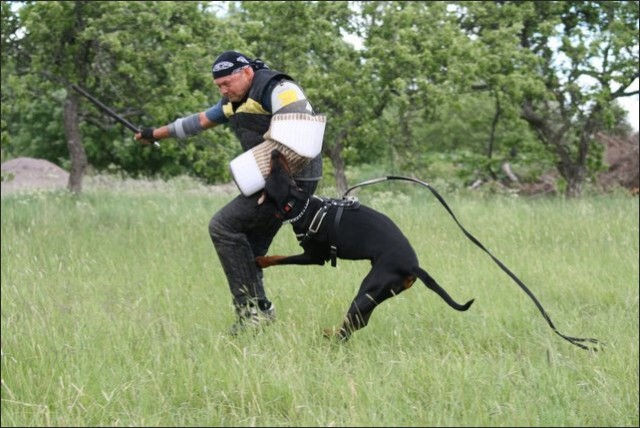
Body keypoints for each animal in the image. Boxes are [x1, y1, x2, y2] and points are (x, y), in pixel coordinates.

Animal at [256, 150, 476, 342]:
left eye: (276, 171)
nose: (275, 151)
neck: (303, 207)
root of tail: (414, 267)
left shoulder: (314, 257)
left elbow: (281, 258)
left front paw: (260, 260)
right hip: (376, 295)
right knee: (359, 322)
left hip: (368, 289)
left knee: (349, 327)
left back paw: (328, 337)